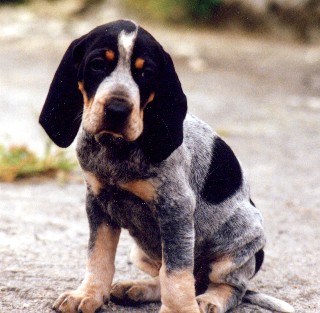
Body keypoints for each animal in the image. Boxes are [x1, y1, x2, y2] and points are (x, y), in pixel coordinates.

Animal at [40, 19, 296, 312]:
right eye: (97, 64)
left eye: (145, 73)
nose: (117, 110)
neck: (117, 149)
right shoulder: (98, 202)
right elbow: (98, 255)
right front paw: (88, 294)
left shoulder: (175, 209)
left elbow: (176, 271)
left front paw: (179, 310)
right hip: (140, 252)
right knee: (170, 278)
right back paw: (136, 288)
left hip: (239, 245)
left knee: (230, 287)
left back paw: (208, 300)